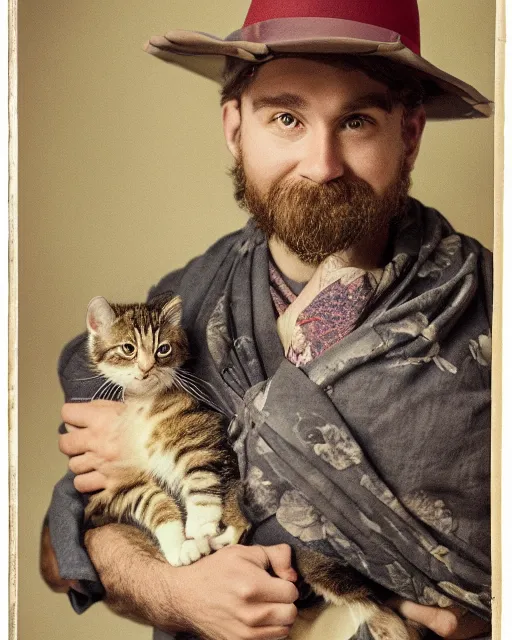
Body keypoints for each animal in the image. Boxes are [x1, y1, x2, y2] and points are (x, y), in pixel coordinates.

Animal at [83, 292, 249, 564]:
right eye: (128, 348)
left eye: (163, 349)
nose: (147, 367)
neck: (144, 404)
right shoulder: (120, 478)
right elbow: (152, 502)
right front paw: (177, 546)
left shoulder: (199, 436)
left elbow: (200, 477)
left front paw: (200, 525)